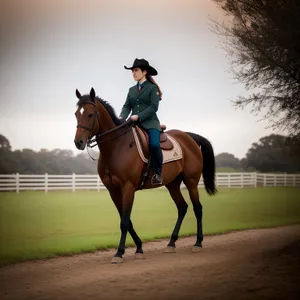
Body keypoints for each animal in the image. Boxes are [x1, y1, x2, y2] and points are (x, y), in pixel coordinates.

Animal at [74, 86, 217, 262]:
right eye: (76, 114)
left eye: (90, 114)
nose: (78, 142)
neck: (116, 147)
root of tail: (189, 136)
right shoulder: (113, 191)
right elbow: (127, 221)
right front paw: (139, 248)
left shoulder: (128, 188)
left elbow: (124, 222)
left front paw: (119, 252)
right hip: (172, 184)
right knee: (182, 207)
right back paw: (171, 243)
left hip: (191, 182)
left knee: (198, 208)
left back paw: (198, 242)